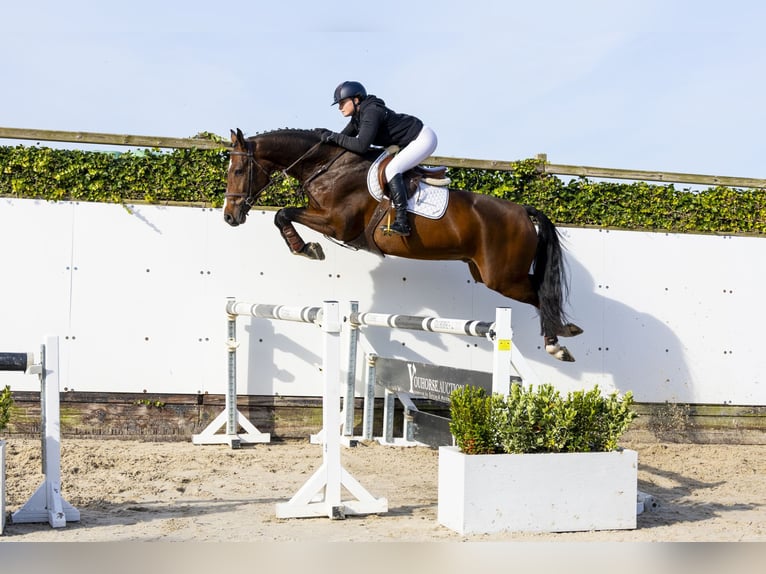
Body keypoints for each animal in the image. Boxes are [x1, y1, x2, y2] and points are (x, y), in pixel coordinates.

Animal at [225, 128, 584, 362]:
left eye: (240, 170)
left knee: (541, 294)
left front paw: (307, 249)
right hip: (485, 273)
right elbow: (282, 215)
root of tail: (522, 210)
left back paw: (557, 342)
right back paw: (564, 334)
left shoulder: (338, 224)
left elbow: (282, 213)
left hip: (503, 277)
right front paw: (304, 247)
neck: (327, 167)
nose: (230, 216)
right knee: (539, 291)